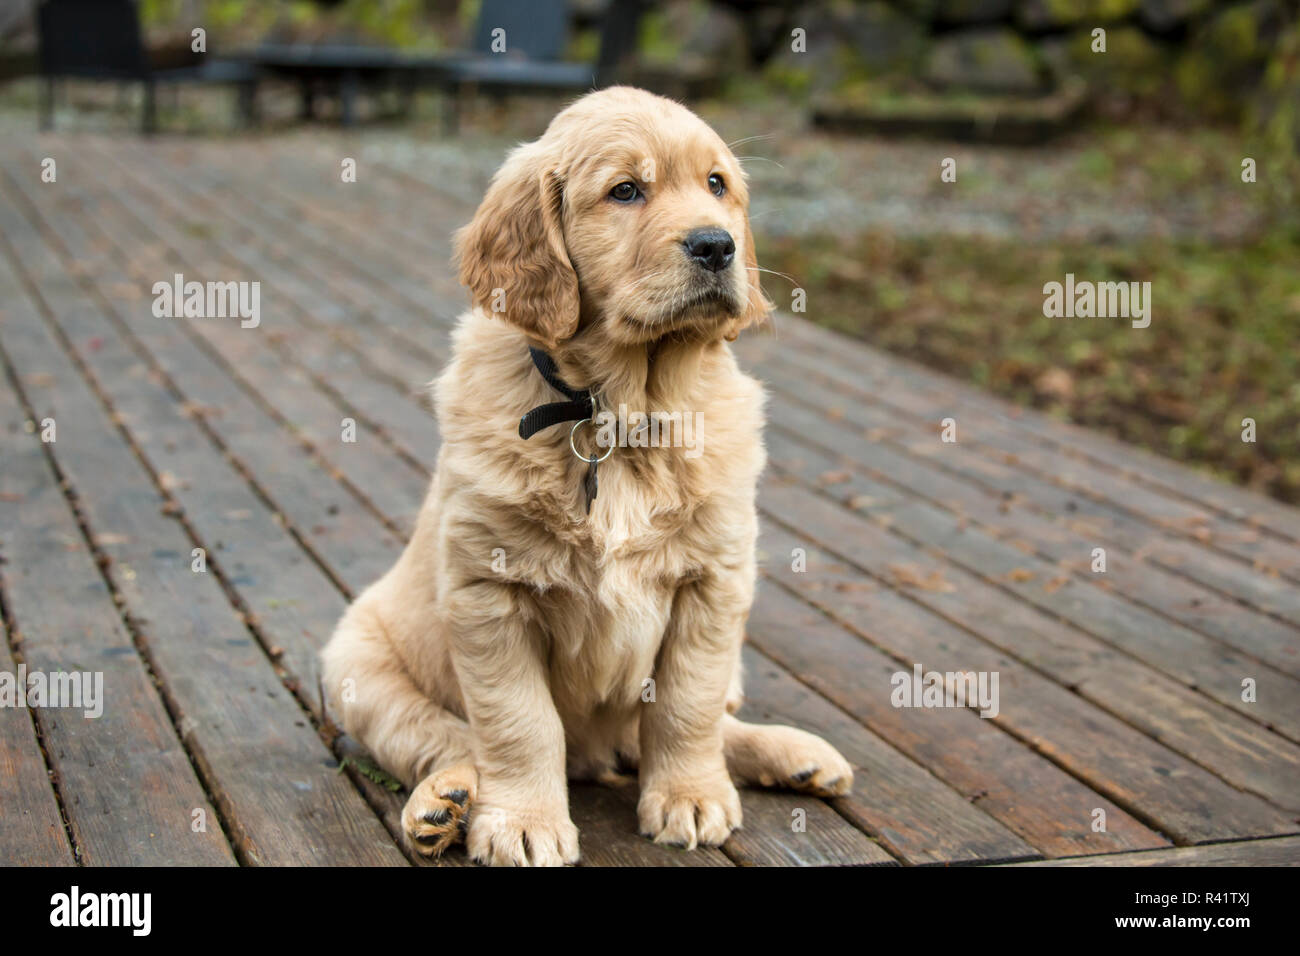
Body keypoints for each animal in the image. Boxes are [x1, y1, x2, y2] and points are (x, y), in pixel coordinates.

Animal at [321, 87, 852, 868]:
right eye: (625, 191)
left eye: (717, 185)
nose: (717, 245)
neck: (623, 415)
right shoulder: (489, 592)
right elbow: (517, 722)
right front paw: (522, 821)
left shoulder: (714, 585)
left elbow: (687, 707)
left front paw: (691, 795)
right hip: (355, 666)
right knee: (441, 738)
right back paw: (445, 803)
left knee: (701, 723)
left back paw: (795, 755)